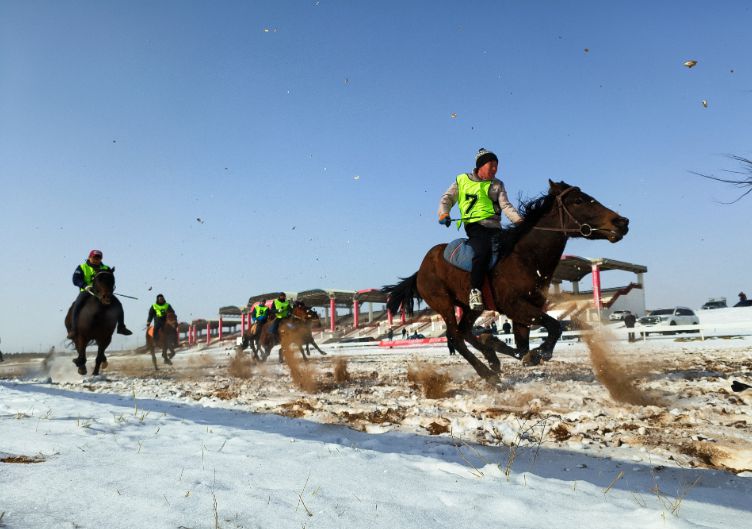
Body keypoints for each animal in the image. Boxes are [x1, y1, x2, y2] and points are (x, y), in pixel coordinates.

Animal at [382, 180, 628, 380]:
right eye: (579, 200)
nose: (621, 222)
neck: (524, 257)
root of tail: (420, 270)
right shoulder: (515, 306)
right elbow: (554, 325)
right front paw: (540, 352)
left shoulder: (525, 312)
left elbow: (524, 346)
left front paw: (506, 348)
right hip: (443, 303)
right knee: (455, 337)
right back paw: (488, 374)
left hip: (470, 307)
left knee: (464, 332)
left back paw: (491, 359)